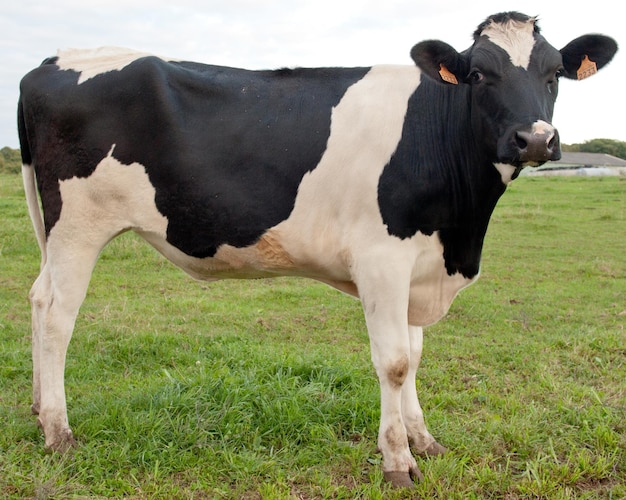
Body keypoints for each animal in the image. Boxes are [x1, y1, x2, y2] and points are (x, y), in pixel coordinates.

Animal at [18, 12, 616, 488]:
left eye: (553, 73)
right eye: (478, 75)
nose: (535, 139)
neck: (460, 232)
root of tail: (50, 61)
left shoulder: (418, 260)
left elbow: (416, 355)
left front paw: (424, 441)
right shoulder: (382, 259)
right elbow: (394, 361)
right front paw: (397, 462)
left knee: (36, 299)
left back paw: (37, 411)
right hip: (77, 225)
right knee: (57, 313)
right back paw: (59, 431)